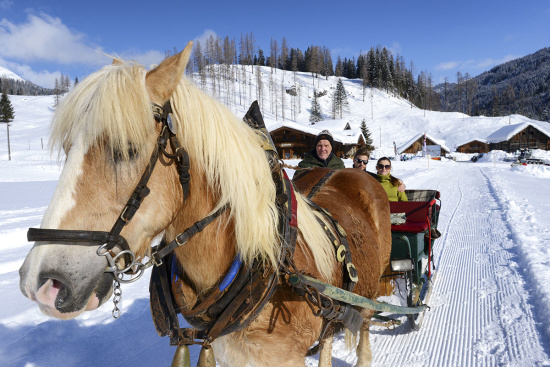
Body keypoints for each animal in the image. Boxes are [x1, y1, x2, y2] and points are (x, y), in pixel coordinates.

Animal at [19, 41, 394, 366]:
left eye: (127, 148)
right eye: (67, 148)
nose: (42, 284)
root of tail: (352, 172)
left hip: (368, 297)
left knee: (362, 333)